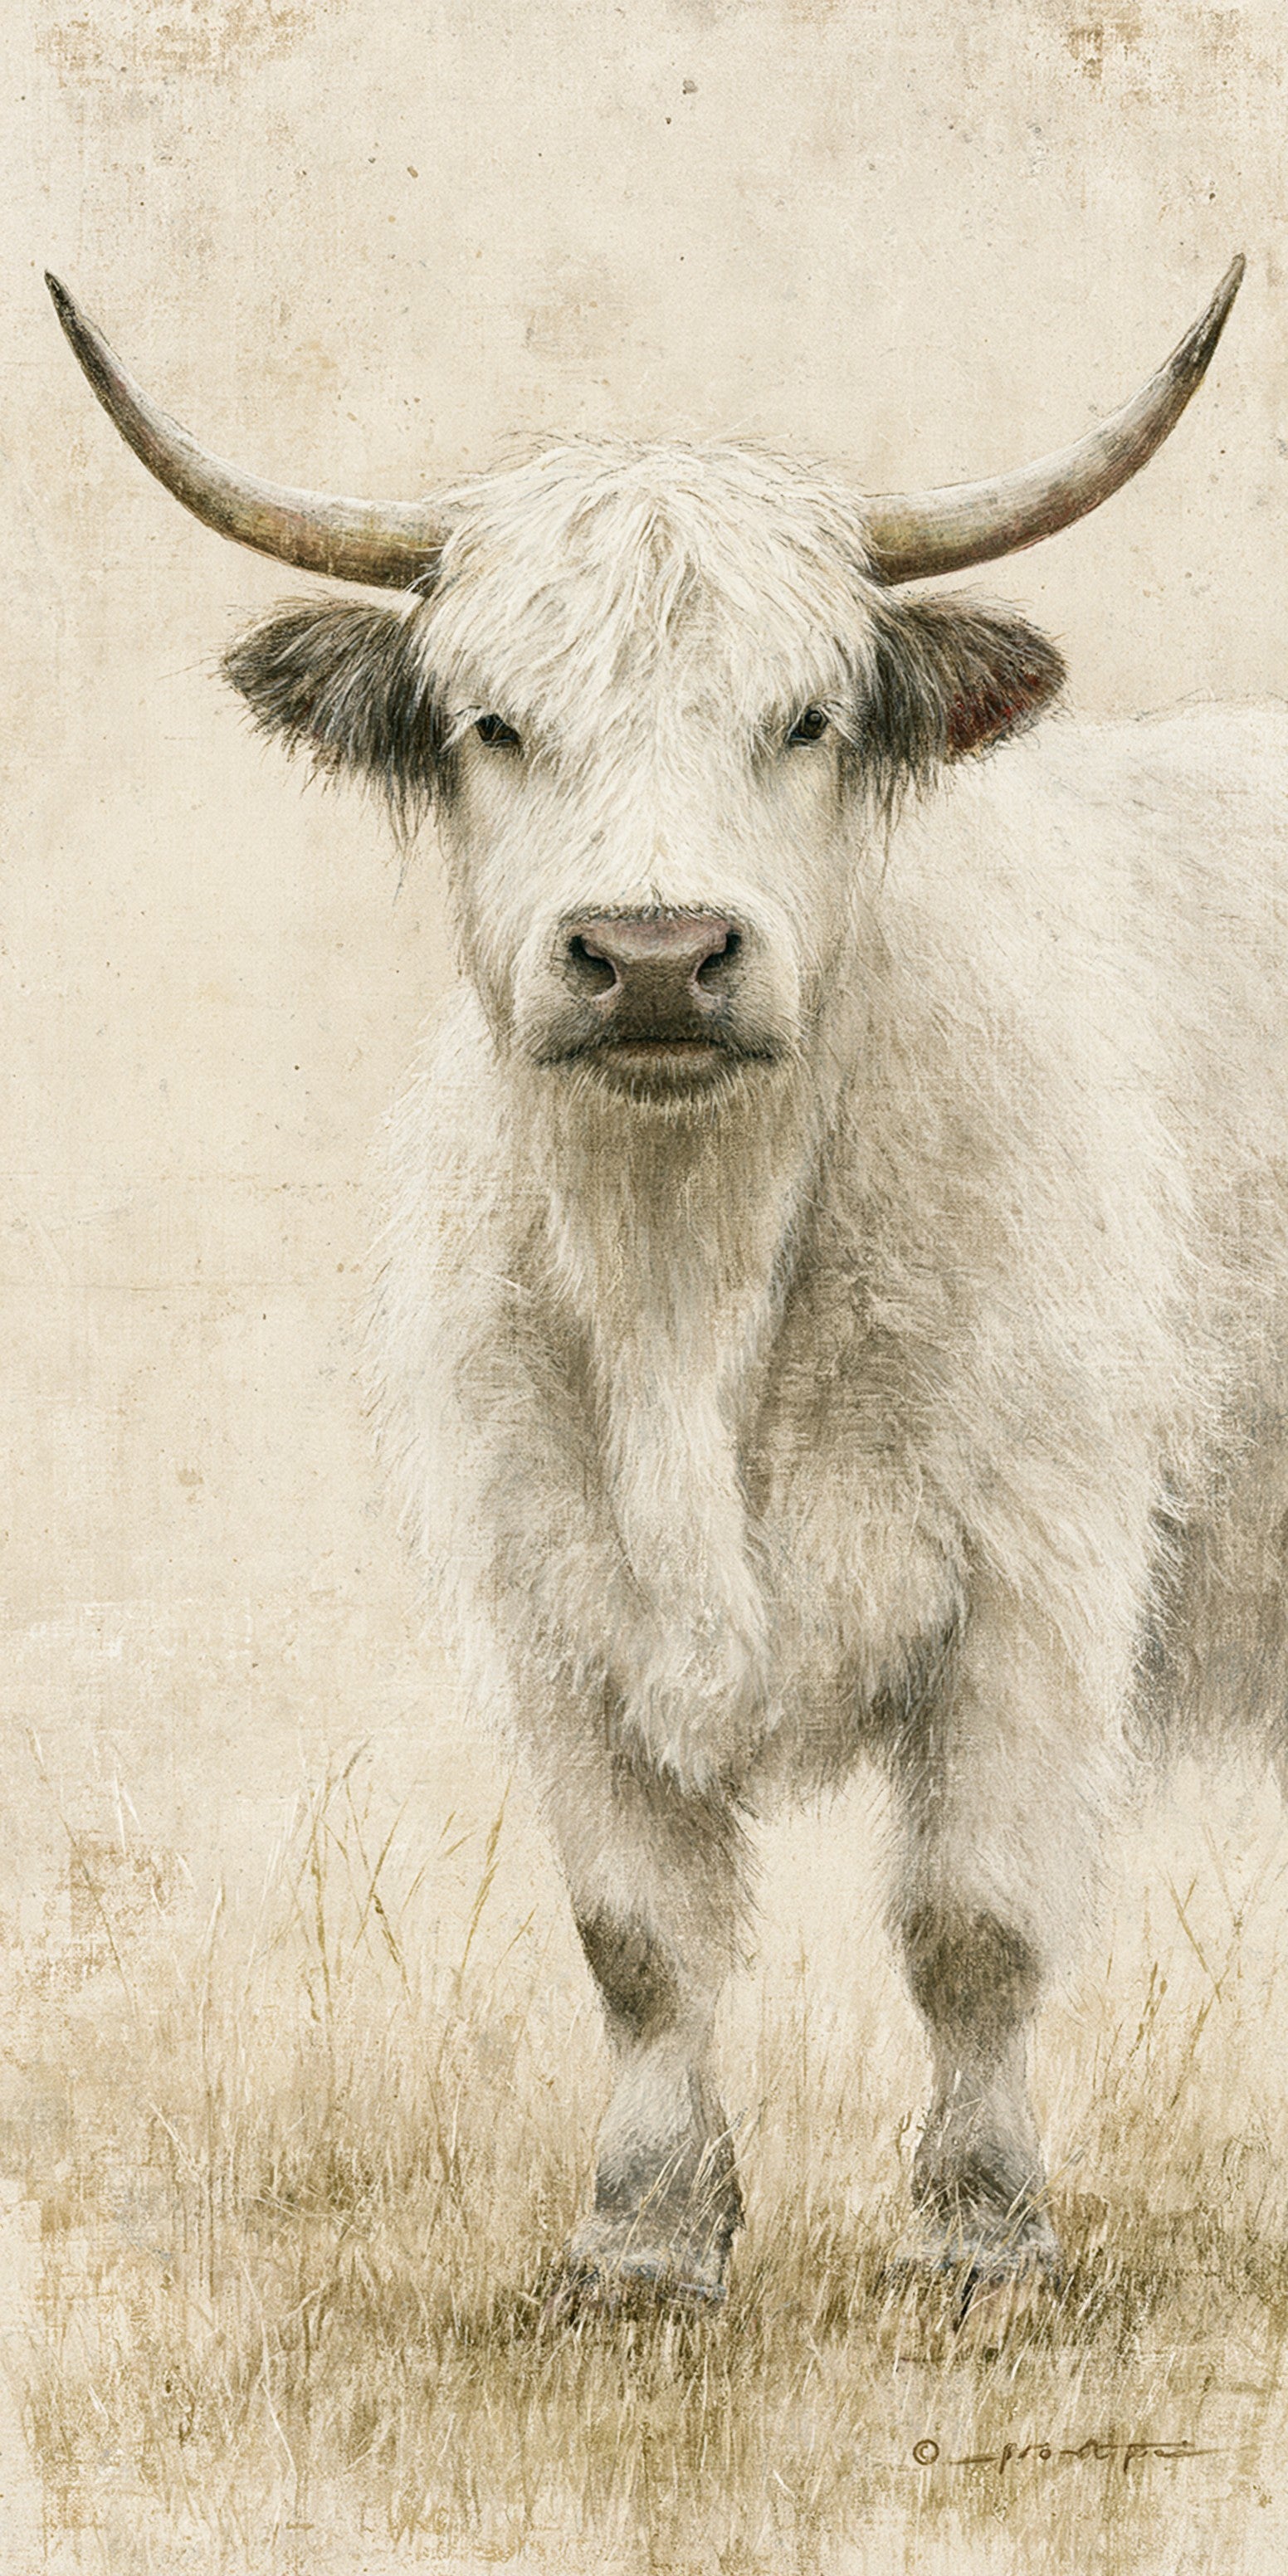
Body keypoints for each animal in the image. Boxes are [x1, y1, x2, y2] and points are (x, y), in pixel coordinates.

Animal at [50, 256, 1283, 2310]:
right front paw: (639, 2244)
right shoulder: (550, 1596)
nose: (646, 956)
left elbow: (969, 1922)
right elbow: (634, 1938)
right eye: (491, 721)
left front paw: (980, 2241)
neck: (689, 1286)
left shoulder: (1034, 1579)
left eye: (802, 718)